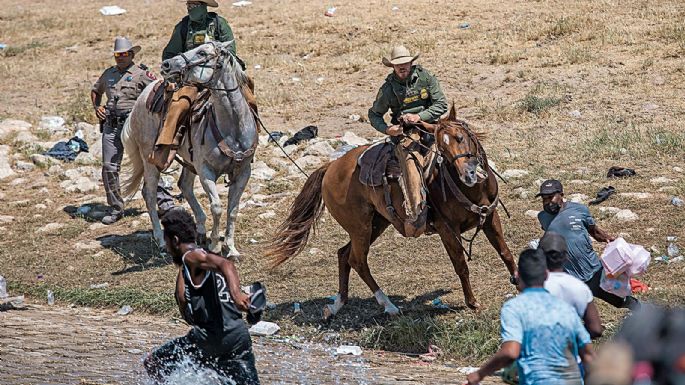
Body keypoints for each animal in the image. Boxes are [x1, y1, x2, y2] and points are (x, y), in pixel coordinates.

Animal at [120, 40, 256, 256]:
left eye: (202, 53)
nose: (166, 65)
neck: (232, 127)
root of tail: (140, 99)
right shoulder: (206, 170)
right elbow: (217, 206)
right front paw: (215, 245)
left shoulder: (243, 171)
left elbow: (233, 210)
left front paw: (231, 248)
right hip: (150, 158)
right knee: (149, 193)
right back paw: (161, 240)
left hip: (189, 160)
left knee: (184, 185)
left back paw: (199, 230)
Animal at [268, 103, 512, 316]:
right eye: (442, 149)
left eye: (461, 138)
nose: (468, 174)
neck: (471, 190)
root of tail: (330, 168)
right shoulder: (447, 230)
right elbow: (461, 265)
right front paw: (472, 303)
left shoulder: (491, 217)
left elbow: (506, 253)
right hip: (360, 228)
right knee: (357, 260)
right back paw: (388, 305)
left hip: (376, 224)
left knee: (344, 254)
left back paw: (337, 304)